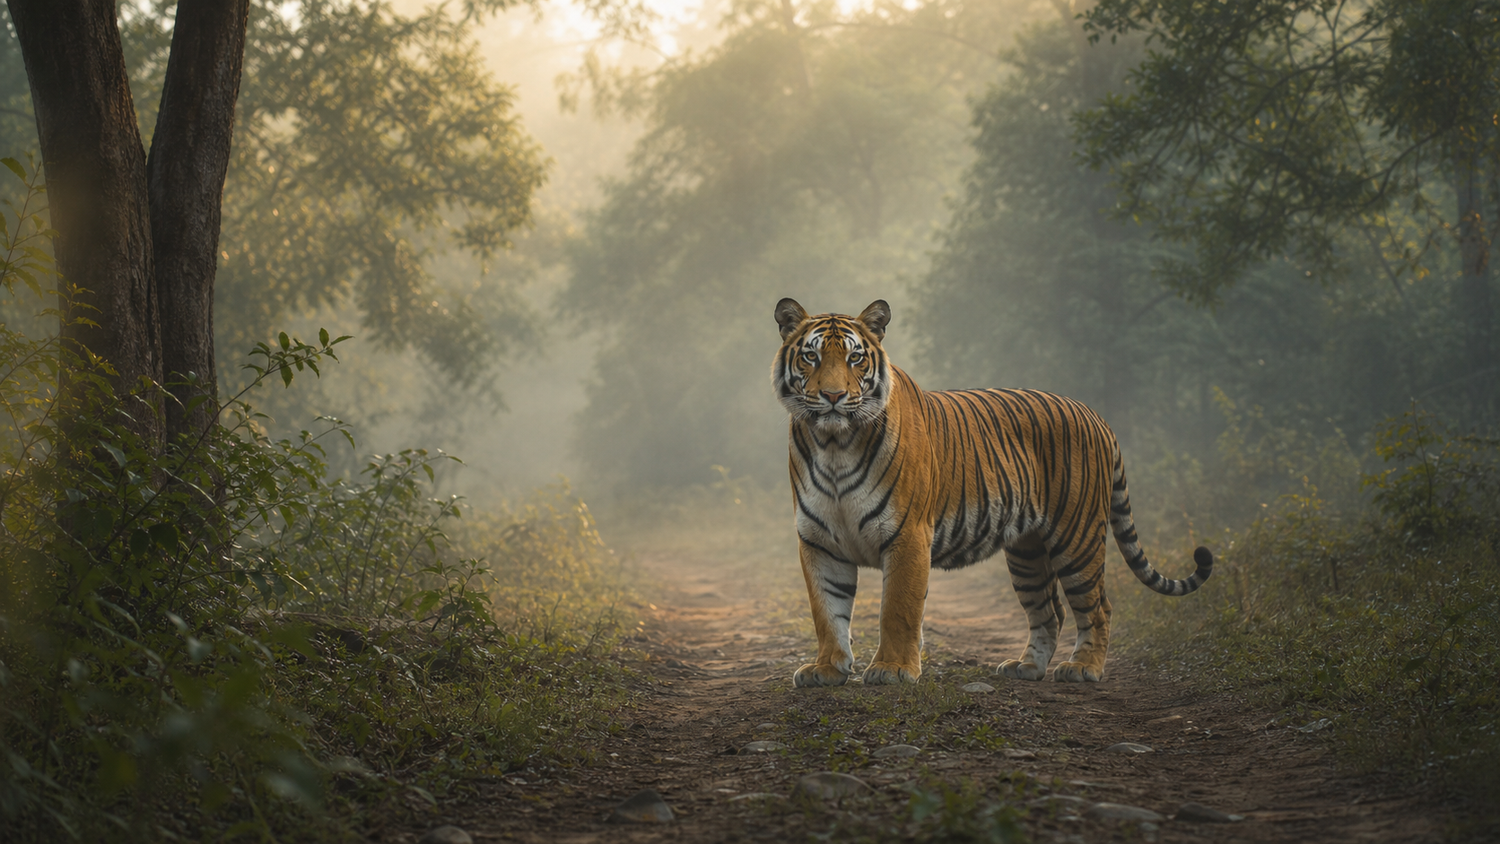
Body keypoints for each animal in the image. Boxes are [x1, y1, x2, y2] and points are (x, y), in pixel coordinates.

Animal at [771, 298, 1213, 686]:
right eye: (811, 357)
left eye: (855, 358)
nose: (832, 397)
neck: (834, 445)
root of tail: (1094, 414)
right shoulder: (819, 541)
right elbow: (827, 611)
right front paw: (826, 669)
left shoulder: (907, 535)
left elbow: (897, 609)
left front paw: (893, 670)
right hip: (1027, 551)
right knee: (1049, 611)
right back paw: (1027, 667)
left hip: (1078, 537)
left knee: (1097, 607)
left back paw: (1083, 668)